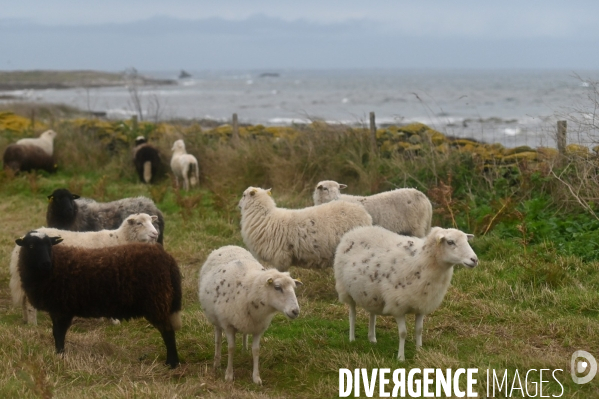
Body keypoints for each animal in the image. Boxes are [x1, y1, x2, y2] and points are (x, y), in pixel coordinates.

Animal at [9, 214, 159, 326]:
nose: (155, 234)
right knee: (29, 303)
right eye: (139, 223)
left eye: (152, 221)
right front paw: (114, 320)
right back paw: (33, 324)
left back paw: (26, 321)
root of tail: (19, 245)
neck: (119, 239)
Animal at [15, 233, 182, 370]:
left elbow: (58, 333)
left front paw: (60, 355)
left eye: (49, 244)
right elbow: (57, 333)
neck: (55, 264)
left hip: (156, 301)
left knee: (168, 332)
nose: (46, 263)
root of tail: (167, 258)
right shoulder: (59, 309)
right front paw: (59, 354)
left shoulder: (62, 308)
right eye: (31, 245)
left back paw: (172, 364)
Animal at [199, 245, 302, 386]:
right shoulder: (228, 325)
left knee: (244, 334)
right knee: (218, 339)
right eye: (277, 287)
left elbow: (256, 351)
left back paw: (244, 351)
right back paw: (217, 363)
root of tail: (228, 246)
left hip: (246, 321)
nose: (295, 311)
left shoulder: (258, 328)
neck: (251, 289)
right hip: (216, 320)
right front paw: (229, 375)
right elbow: (231, 348)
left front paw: (256, 377)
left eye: (294, 288)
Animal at [332, 227, 478, 360]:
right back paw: (352, 339)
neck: (422, 260)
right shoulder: (398, 306)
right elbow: (403, 333)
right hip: (346, 290)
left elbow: (419, 330)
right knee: (352, 314)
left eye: (466, 240)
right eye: (450, 242)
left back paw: (372, 338)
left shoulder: (421, 304)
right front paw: (401, 357)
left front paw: (419, 351)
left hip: (371, 293)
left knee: (372, 314)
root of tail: (355, 230)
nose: (474, 259)